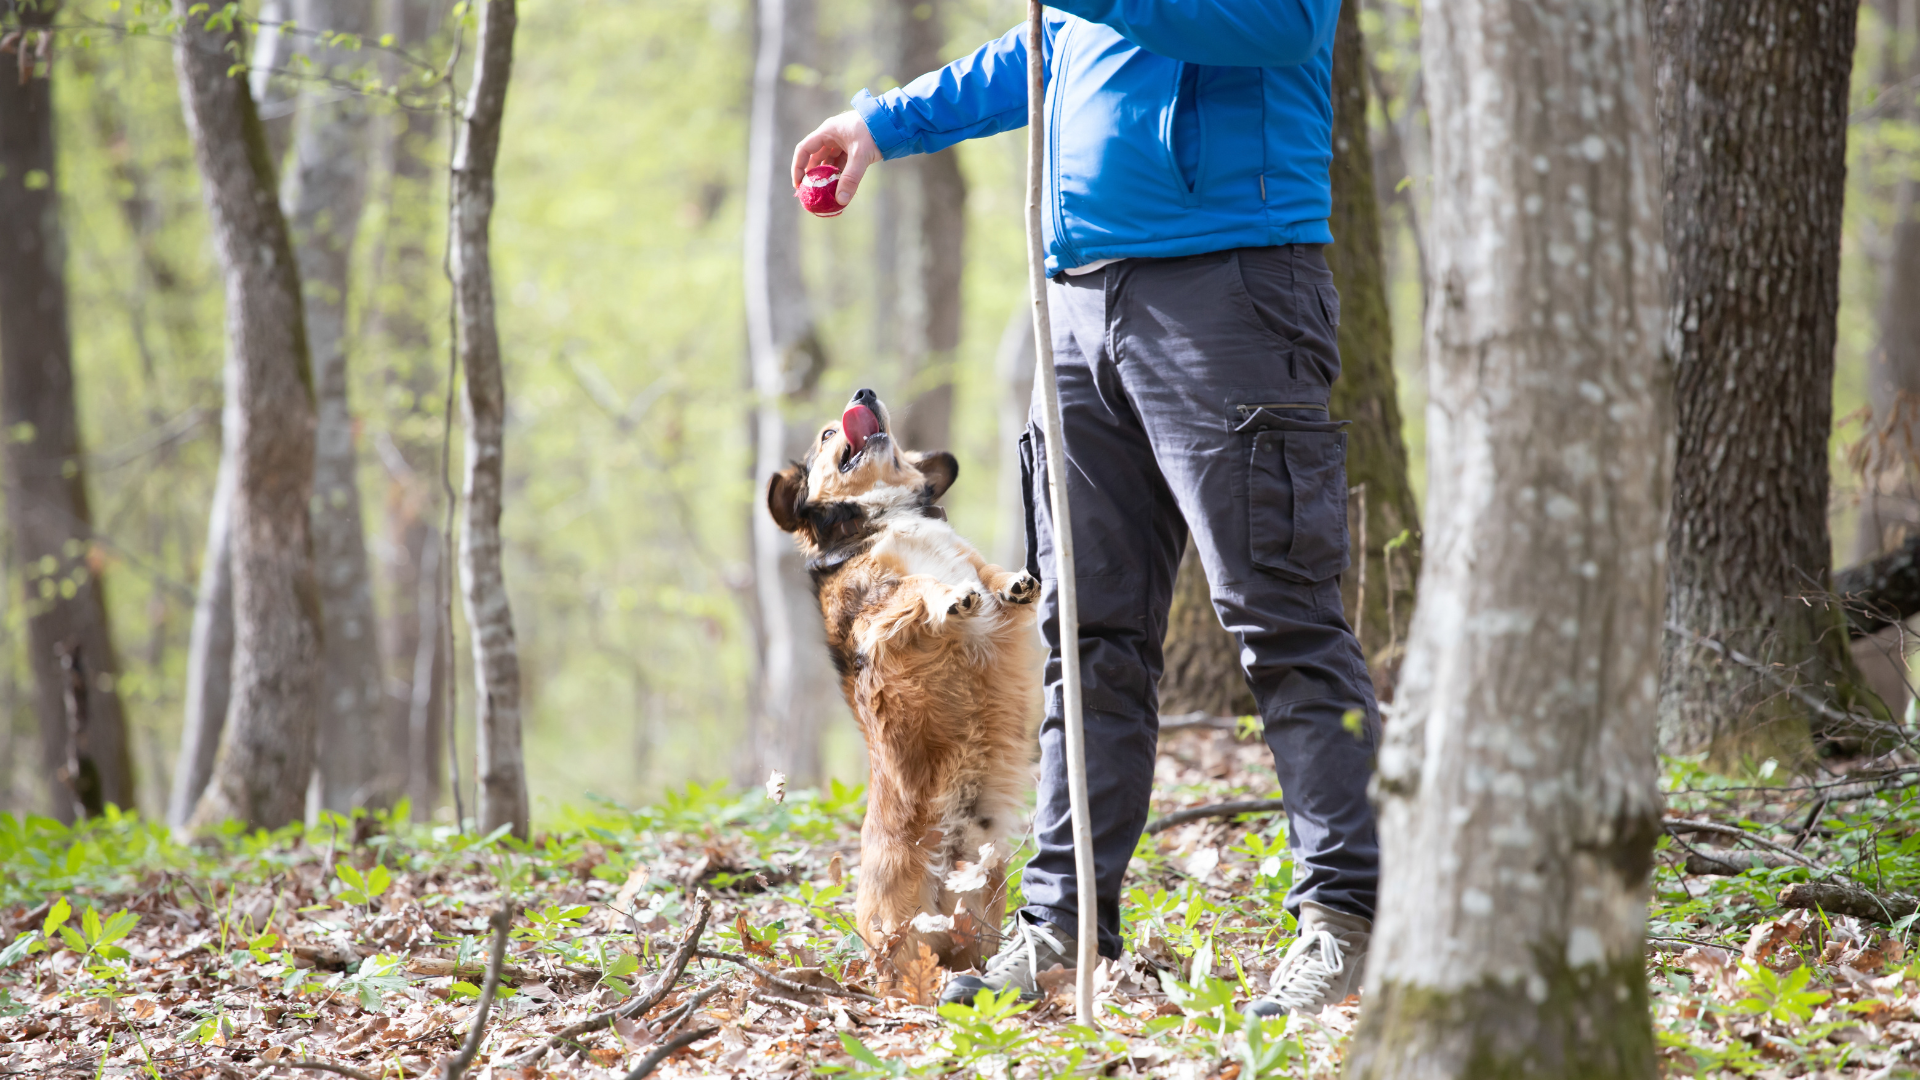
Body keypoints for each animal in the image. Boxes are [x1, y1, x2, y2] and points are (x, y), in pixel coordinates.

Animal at [764, 382, 1036, 972]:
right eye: (827, 433)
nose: (864, 391)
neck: (883, 518)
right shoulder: (879, 606)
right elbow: (922, 586)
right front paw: (951, 596)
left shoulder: (972, 562)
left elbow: (989, 574)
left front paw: (1016, 582)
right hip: (901, 927)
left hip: (983, 908)